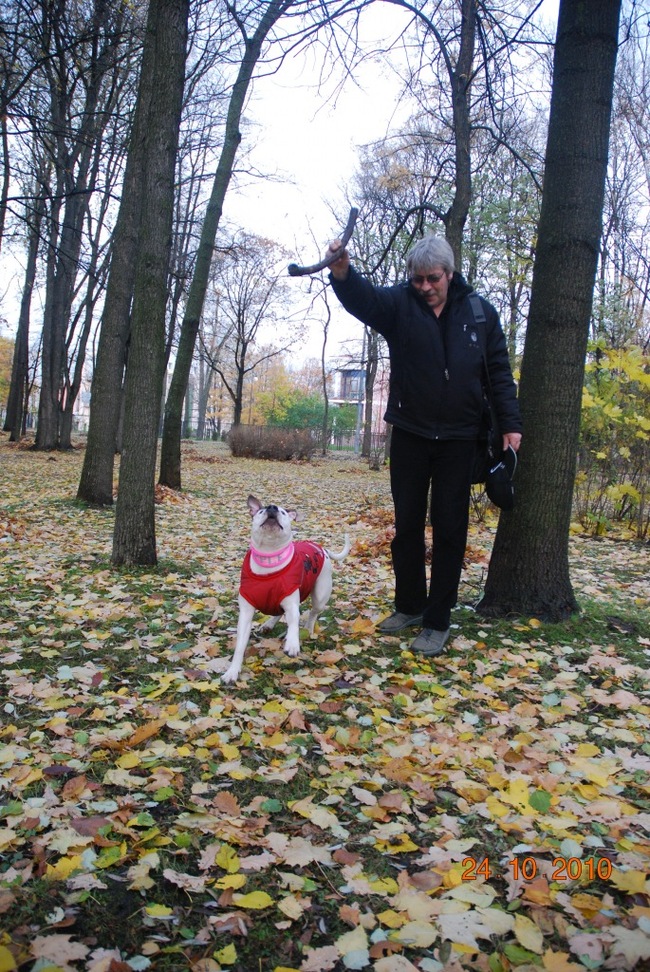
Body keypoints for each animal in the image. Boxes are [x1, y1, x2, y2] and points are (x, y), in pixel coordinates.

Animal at [220, 494, 350, 684]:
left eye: (282, 512)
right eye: (261, 510)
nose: (272, 507)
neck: (269, 558)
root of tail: (321, 548)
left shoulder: (291, 602)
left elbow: (294, 620)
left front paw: (293, 643)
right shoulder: (246, 612)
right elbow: (240, 646)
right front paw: (232, 671)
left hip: (320, 595)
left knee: (312, 613)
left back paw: (307, 629)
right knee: (278, 611)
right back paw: (268, 624)